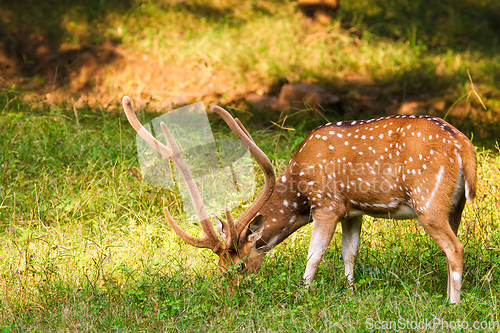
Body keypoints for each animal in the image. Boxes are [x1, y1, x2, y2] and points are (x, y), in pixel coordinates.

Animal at [122, 96, 476, 304]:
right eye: (218, 267)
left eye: (237, 266)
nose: (230, 295)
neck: (298, 193)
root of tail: (464, 148)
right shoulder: (352, 212)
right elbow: (349, 254)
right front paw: (350, 294)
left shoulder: (327, 204)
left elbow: (313, 256)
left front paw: (303, 295)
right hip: (455, 206)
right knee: (451, 249)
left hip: (429, 203)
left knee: (455, 249)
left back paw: (452, 304)